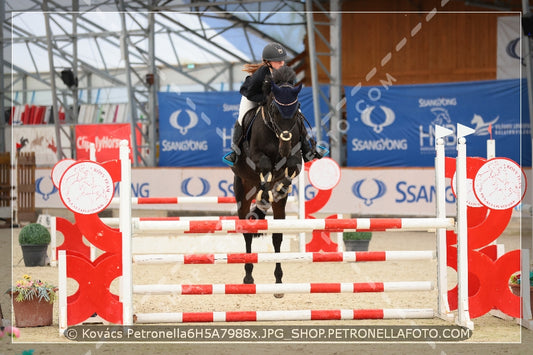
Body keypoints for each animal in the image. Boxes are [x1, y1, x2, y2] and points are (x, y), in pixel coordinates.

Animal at [232, 66, 306, 298]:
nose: (284, 146)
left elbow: (291, 166)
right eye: (274, 108)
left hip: (279, 207)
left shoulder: (296, 158)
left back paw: (279, 283)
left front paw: (280, 186)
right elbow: (264, 164)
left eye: (297, 108)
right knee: (247, 232)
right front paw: (265, 194)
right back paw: (248, 278)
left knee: (277, 237)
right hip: (242, 189)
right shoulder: (256, 157)